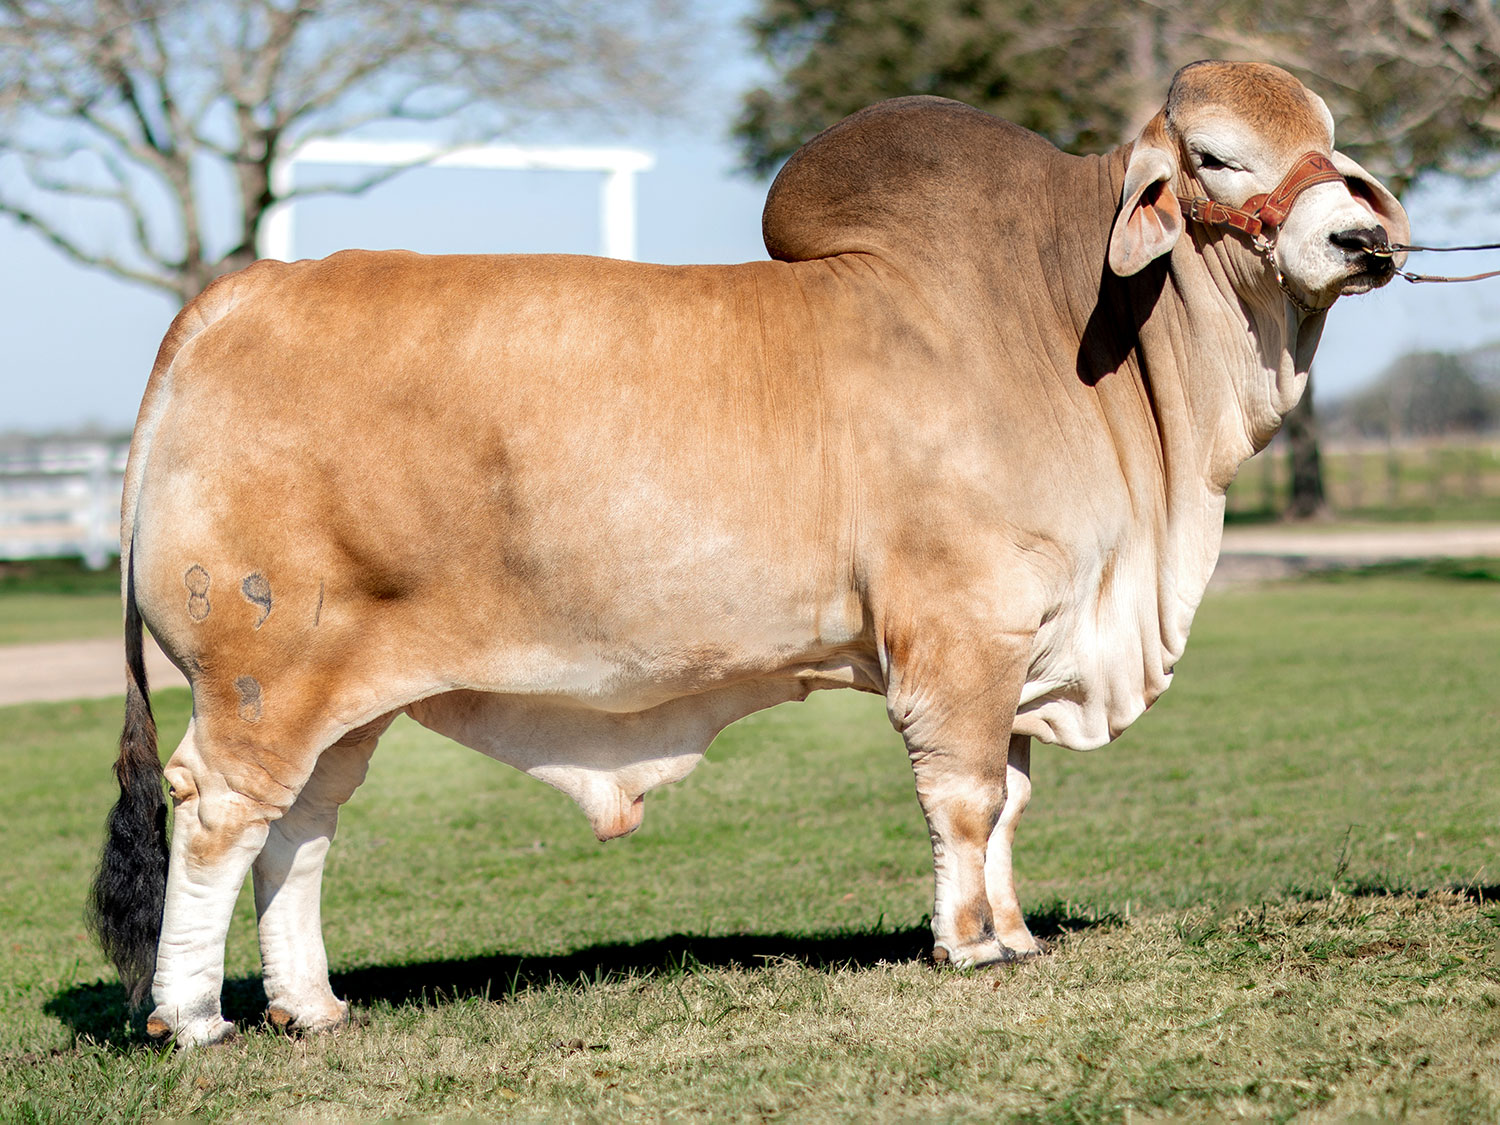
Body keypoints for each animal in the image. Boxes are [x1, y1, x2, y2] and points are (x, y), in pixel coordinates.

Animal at [90, 61, 1404, 1050]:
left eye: (1329, 142)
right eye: (1218, 156)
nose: (1361, 236)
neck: (1060, 326)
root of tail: (232, 302)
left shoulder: (1031, 643)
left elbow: (1014, 800)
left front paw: (1016, 931)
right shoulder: (962, 632)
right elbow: (967, 797)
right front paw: (970, 945)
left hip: (344, 695)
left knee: (300, 831)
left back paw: (311, 1006)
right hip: (262, 678)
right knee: (219, 818)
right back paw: (194, 1018)